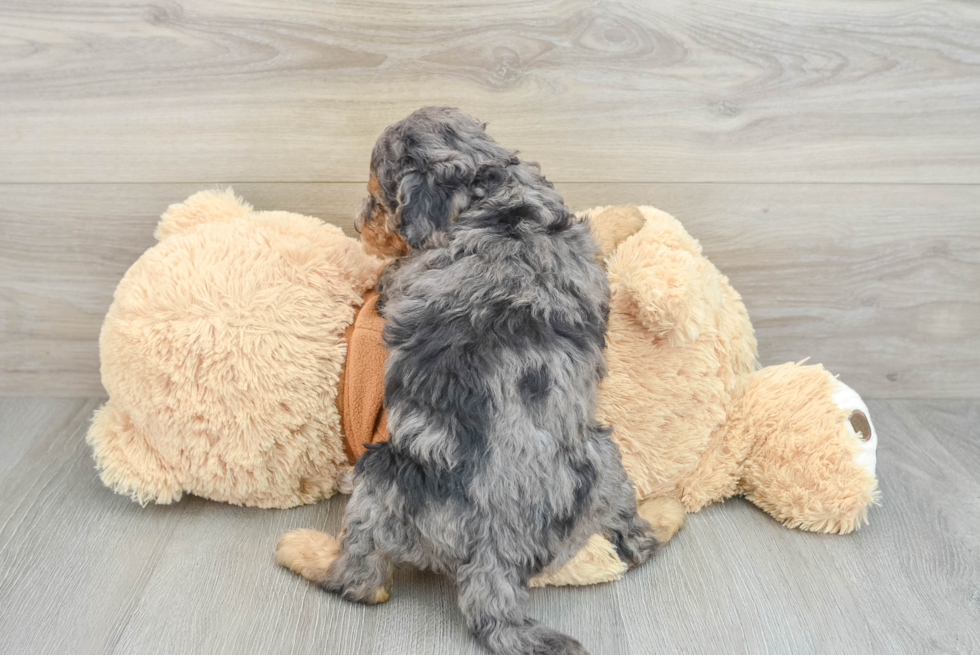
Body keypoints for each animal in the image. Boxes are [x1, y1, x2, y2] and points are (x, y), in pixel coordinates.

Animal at [276, 109, 660, 655]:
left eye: (380, 199)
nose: (356, 225)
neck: (493, 194)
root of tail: (495, 554)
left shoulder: (401, 278)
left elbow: (385, 273)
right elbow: (593, 226)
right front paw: (630, 213)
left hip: (381, 480)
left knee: (363, 581)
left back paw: (302, 548)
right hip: (605, 457)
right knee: (635, 535)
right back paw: (660, 517)